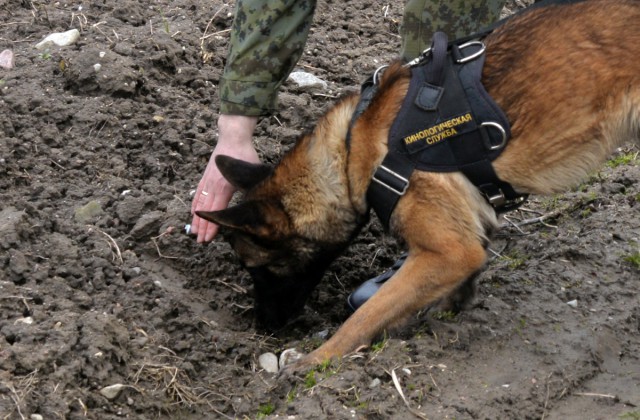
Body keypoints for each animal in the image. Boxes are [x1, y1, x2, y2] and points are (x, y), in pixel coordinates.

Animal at [198, 0, 636, 374]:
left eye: (257, 268)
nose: (264, 327)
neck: (350, 151)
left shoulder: (451, 251)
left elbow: (369, 312)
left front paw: (318, 359)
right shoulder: (464, 237)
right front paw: (448, 309)